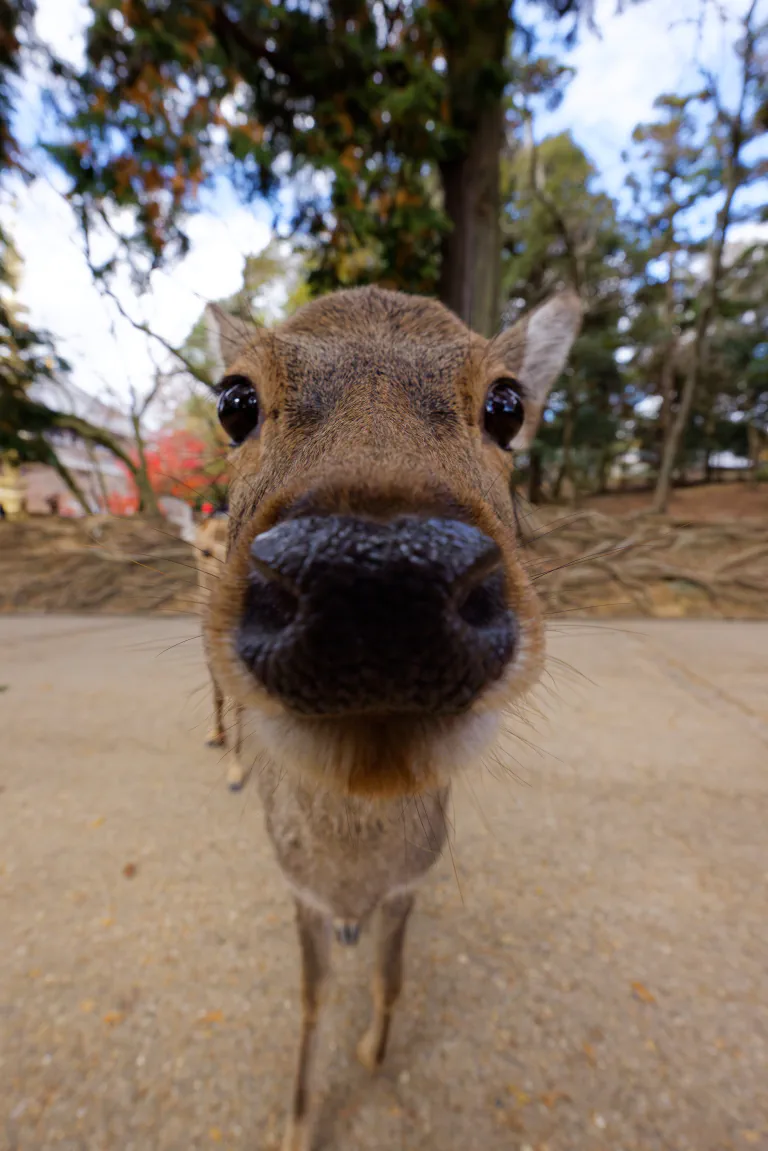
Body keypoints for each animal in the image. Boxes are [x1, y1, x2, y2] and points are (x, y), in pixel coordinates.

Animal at [201, 285, 580, 1151]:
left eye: (508, 403)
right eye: (234, 401)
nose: (375, 576)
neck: (352, 883)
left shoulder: (413, 882)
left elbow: (391, 974)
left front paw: (375, 1052)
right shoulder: (298, 893)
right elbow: (310, 999)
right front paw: (297, 1121)